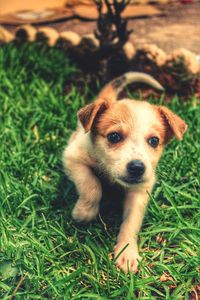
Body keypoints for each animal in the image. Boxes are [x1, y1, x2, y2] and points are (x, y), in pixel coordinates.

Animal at [63, 71, 188, 274]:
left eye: (154, 141)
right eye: (114, 136)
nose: (137, 167)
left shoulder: (141, 190)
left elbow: (132, 221)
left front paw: (127, 253)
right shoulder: (72, 158)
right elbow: (92, 185)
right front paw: (85, 212)